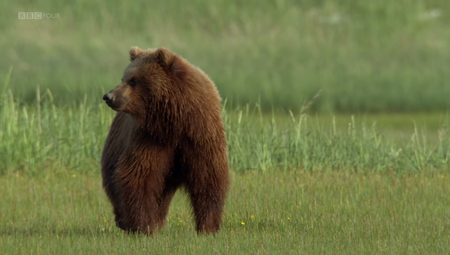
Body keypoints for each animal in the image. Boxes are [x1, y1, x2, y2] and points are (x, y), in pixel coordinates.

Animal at [100, 46, 230, 235]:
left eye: (133, 80)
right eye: (124, 78)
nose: (109, 96)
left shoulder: (201, 134)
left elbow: (207, 175)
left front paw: (208, 227)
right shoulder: (149, 138)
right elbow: (139, 175)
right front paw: (144, 225)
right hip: (115, 146)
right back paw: (125, 221)